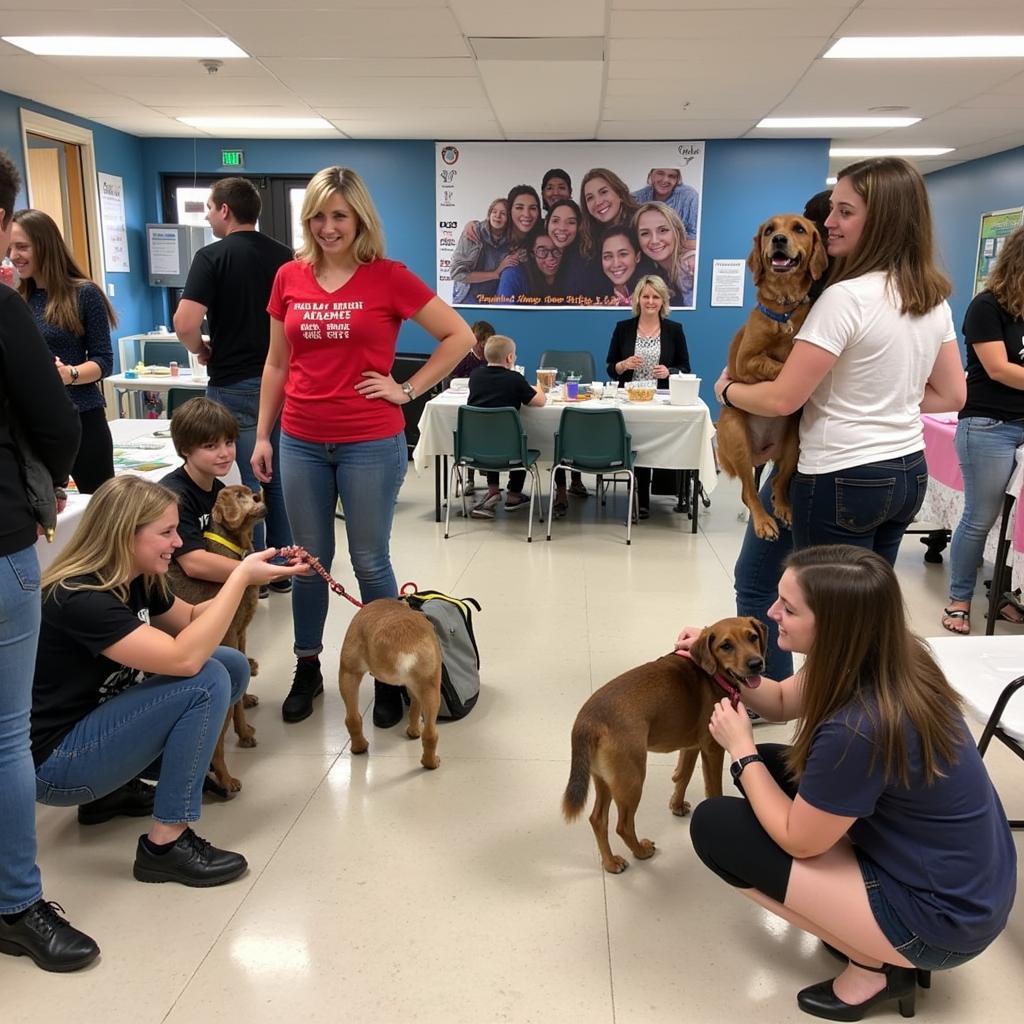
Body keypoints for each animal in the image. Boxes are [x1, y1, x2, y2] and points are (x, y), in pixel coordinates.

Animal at [166, 483, 264, 794]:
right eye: (240, 496)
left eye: (250, 494)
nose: (260, 494)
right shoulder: (230, 634)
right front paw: (242, 736)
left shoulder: (242, 633)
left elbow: (240, 694)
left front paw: (244, 727)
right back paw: (225, 779)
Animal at [339, 598, 444, 770]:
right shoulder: (415, 687)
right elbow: (415, 710)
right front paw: (414, 731)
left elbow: (413, 710)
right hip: (432, 686)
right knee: (430, 733)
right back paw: (432, 763)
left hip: (348, 675)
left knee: (352, 719)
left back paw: (359, 747)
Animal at [561, 614, 770, 872]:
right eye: (726, 646)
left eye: (752, 637)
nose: (756, 663)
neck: (711, 674)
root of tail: (588, 720)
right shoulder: (712, 749)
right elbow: (712, 788)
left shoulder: (691, 747)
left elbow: (682, 777)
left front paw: (676, 805)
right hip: (631, 780)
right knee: (623, 826)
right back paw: (640, 851)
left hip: (605, 779)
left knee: (598, 819)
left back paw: (610, 862)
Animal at [716, 211, 827, 540]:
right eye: (768, 230)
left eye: (799, 229)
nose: (778, 240)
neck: (784, 306)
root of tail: (761, 454)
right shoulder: (746, 360)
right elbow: (776, 367)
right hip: (736, 434)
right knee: (748, 492)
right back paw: (763, 521)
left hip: (794, 443)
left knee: (778, 482)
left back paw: (784, 507)